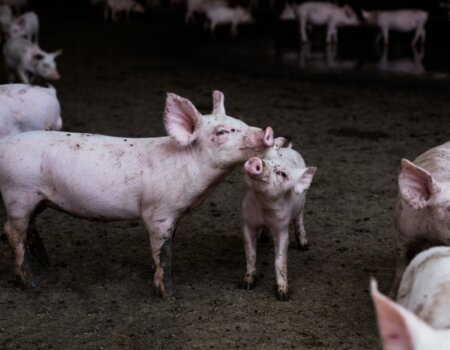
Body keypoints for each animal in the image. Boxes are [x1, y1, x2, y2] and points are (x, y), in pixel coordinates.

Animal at [0, 89, 274, 296]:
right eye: (221, 132)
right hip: (18, 194)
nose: (267, 131)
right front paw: (169, 295)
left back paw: (47, 265)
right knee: (13, 233)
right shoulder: (158, 212)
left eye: (242, 123)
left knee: (26, 229)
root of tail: (4, 145)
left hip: (37, 199)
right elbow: (163, 250)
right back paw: (32, 284)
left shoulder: (175, 214)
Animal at [239, 138, 316, 300]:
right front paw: (246, 285)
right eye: (264, 158)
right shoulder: (248, 223)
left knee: (299, 219)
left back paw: (304, 245)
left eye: (282, 173)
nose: (256, 160)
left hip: (302, 203)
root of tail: (290, 149)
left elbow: (280, 261)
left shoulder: (281, 228)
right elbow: (250, 254)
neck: (263, 204)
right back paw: (264, 238)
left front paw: (283, 295)